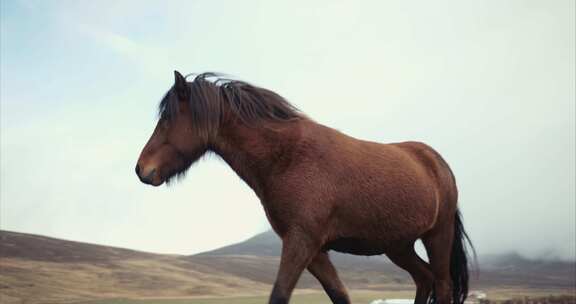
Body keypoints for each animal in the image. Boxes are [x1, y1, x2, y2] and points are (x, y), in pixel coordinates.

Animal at [135, 71, 472, 304]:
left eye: (167, 119)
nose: (141, 169)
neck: (287, 157)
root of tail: (435, 160)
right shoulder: (315, 250)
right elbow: (339, 295)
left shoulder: (301, 241)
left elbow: (279, 295)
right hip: (397, 245)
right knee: (424, 279)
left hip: (437, 235)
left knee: (441, 286)